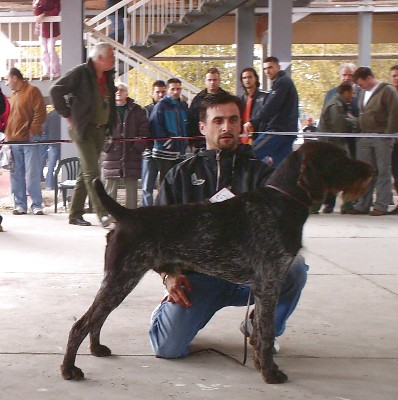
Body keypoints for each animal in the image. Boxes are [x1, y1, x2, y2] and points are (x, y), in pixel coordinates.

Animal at [59, 142, 374, 382]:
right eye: (339, 158)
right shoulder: (269, 281)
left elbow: (260, 331)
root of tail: (126, 213)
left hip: (121, 279)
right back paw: (69, 368)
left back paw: (96, 349)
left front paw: (261, 363)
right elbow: (266, 330)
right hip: (122, 277)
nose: (371, 169)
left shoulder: (266, 284)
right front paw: (270, 373)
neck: (283, 201)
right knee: (82, 323)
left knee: (98, 318)